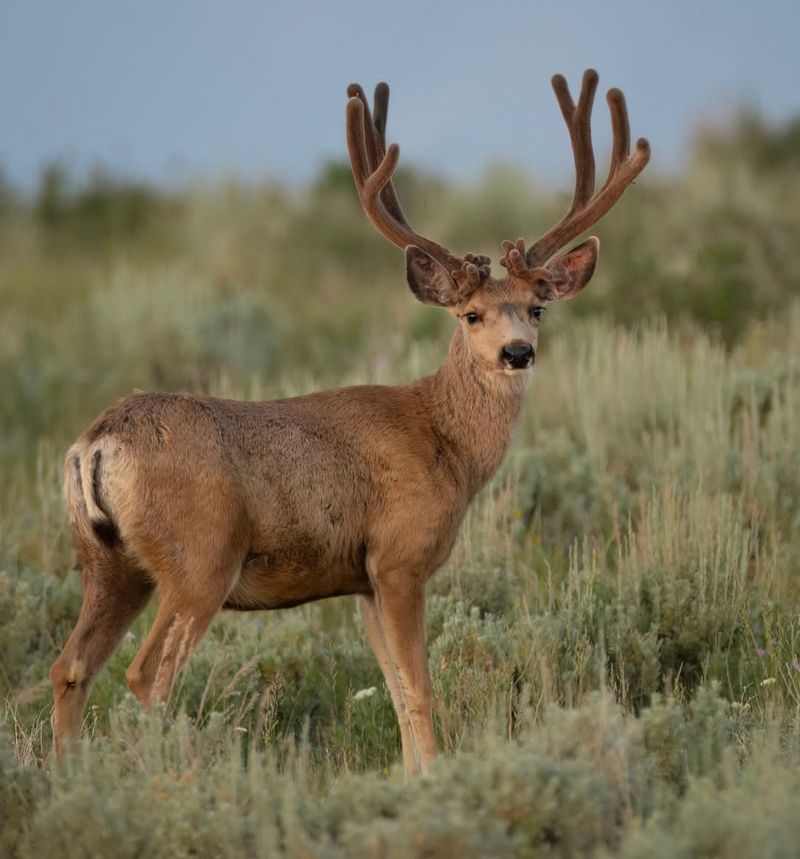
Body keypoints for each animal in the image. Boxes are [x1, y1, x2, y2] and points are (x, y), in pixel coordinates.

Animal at [50, 69, 649, 775]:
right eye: (470, 315)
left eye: (537, 309)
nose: (517, 352)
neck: (445, 444)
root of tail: (95, 443)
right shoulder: (399, 557)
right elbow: (419, 687)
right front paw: (435, 778)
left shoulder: (361, 579)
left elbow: (393, 690)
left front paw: (411, 777)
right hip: (200, 557)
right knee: (146, 675)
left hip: (109, 560)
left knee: (71, 667)